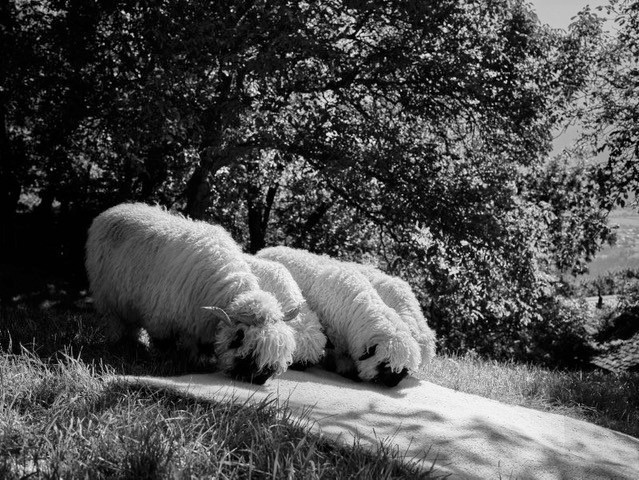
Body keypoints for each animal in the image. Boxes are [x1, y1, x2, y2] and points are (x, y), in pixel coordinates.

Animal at [85, 202, 298, 382]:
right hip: (106, 296)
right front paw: (168, 361)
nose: (260, 379)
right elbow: (164, 344)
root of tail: (115, 208)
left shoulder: (197, 322)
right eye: (246, 344)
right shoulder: (161, 318)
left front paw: (197, 360)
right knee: (116, 321)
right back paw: (119, 344)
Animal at [258, 248, 422, 386]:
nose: (392, 384)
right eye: (384, 364)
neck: (356, 307)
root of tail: (267, 249)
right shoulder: (334, 334)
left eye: (404, 370)